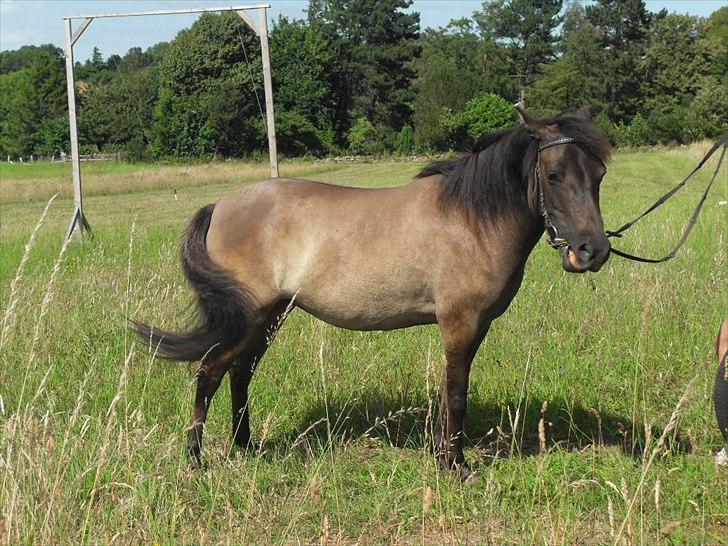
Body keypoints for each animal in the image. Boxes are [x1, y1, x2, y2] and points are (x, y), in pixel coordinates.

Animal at [132, 107, 616, 476]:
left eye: (599, 174)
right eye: (553, 175)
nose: (592, 251)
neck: (472, 219)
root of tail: (221, 205)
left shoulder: (472, 327)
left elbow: (448, 395)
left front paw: (442, 455)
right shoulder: (460, 323)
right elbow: (457, 394)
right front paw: (455, 467)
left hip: (270, 315)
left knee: (240, 372)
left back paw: (245, 447)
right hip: (248, 314)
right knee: (210, 372)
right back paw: (196, 461)